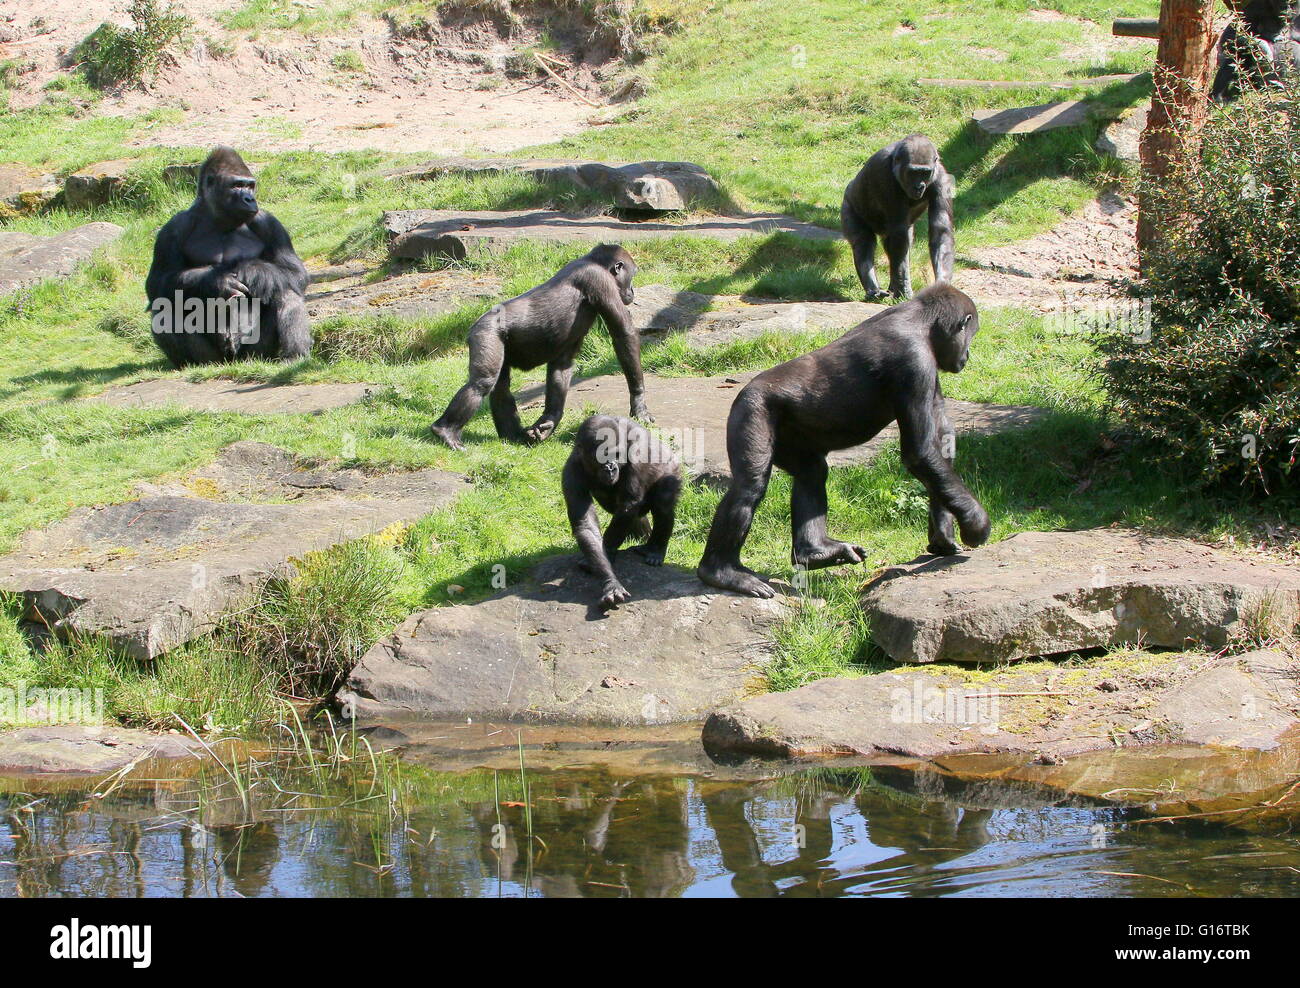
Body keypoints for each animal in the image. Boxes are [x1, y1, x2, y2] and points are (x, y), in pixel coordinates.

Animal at [145, 144, 312, 364]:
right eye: (236, 185)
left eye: (250, 186)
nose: (250, 199)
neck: (218, 218)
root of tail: (232, 359)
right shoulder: (173, 229)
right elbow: (158, 282)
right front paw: (217, 281)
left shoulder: (268, 223)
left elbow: (294, 272)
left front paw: (254, 269)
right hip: (215, 357)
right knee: (165, 304)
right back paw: (189, 364)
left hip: (253, 354)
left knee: (284, 289)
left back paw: (295, 355)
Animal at [428, 245, 647, 449]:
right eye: (632, 276)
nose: (633, 291)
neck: (592, 261)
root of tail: (474, 324)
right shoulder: (598, 280)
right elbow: (623, 333)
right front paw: (639, 402)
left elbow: (561, 366)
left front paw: (549, 421)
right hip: (486, 332)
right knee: (481, 382)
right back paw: (445, 431)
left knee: (500, 386)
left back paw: (512, 436)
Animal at [564, 410, 686, 611]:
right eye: (602, 455)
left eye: (616, 454)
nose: (611, 467)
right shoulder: (571, 471)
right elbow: (586, 524)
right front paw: (608, 578)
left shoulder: (636, 455)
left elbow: (629, 504)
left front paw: (608, 553)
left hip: (672, 466)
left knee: (663, 501)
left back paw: (655, 549)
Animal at [696, 282, 987, 598]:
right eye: (970, 334)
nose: (968, 356)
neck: (921, 320)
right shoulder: (915, 362)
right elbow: (921, 452)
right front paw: (976, 523)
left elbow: (940, 443)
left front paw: (943, 535)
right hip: (752, 407)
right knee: (749, 485)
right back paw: (720, 572)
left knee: (811, 472)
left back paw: (814, 552)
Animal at [842, 133, 956, 301]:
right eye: (913, 172)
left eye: (925, 173)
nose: (919, 186)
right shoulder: (884, 175)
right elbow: (899, 233)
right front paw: (903, 288)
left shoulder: (942, 180)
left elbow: (940, 232)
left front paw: (942, 283)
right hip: (849, 205)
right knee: (863, 241)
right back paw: (872, 288)